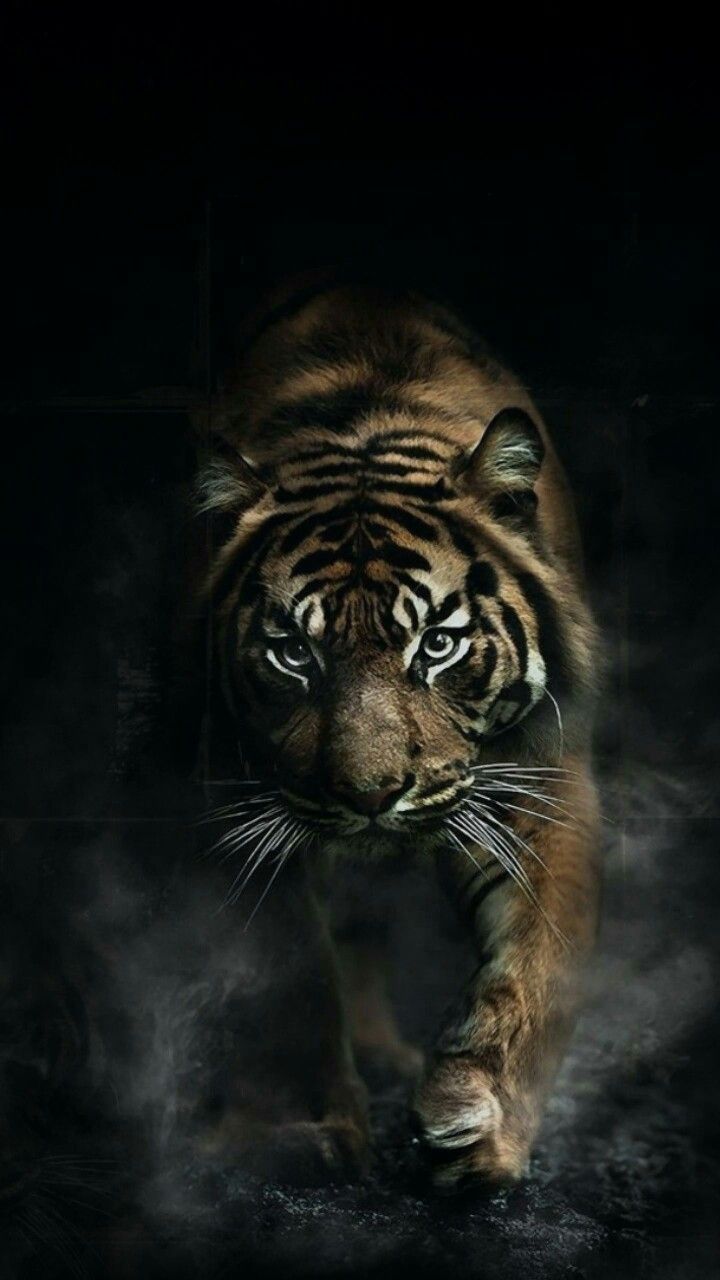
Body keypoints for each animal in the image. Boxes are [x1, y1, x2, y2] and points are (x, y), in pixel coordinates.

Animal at [191, 275, 602, 1192]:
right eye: (293, 652)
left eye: (437, 645)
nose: (371, 794)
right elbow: (291, 974)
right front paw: (307, 1131)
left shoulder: (540, 779)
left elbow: (538, 963)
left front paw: (480, 1125)